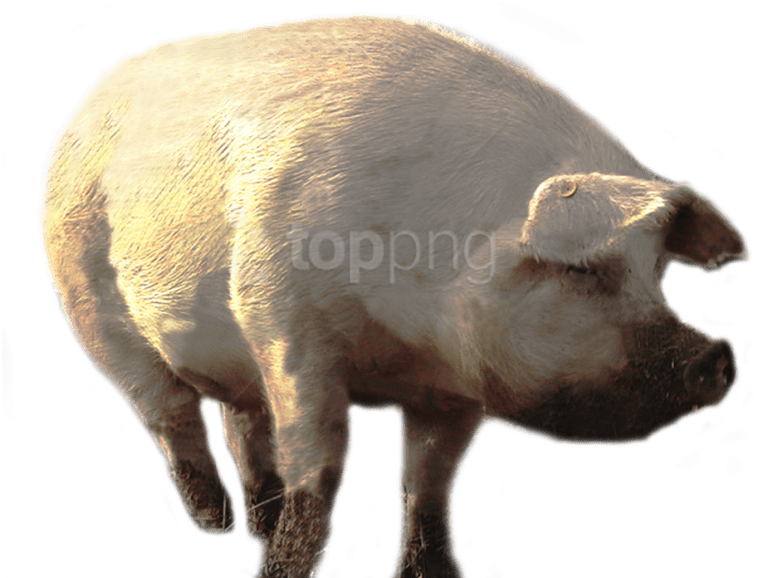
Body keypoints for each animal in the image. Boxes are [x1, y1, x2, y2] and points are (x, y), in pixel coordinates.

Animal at [39, 14, 749, 578]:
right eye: (581, 272)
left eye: (657, 271)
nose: (718, 356)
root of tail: (87, 100)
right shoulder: (284, 322)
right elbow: (322, 455)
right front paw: (281, 572)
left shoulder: (454, 386)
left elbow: (431, 476)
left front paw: (434, 574)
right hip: (88, 302)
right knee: (170, 413)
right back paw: (216, 525)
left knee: (244, 422)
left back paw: (256, 523)